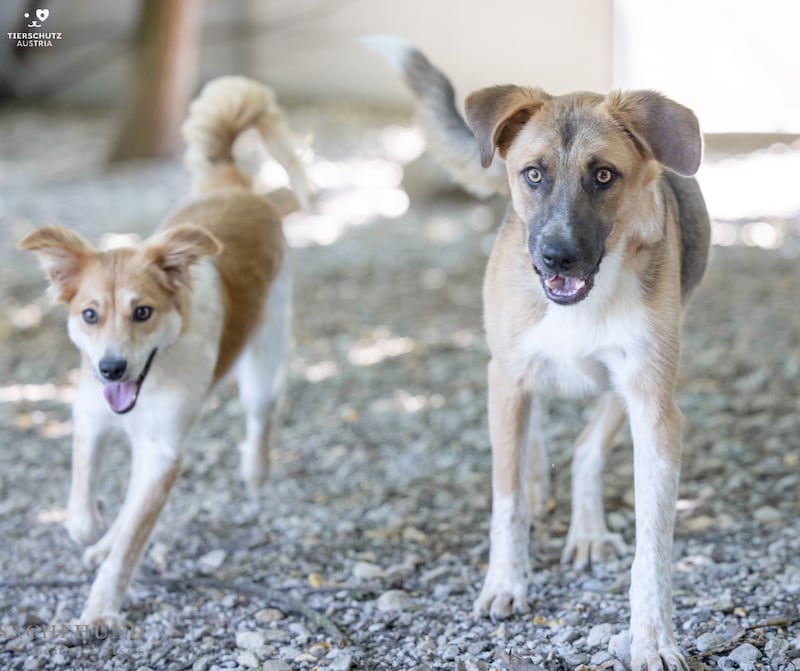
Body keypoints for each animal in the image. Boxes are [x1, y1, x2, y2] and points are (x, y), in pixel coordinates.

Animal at [18, 76, 310, 628]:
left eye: (143, 312)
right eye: (90, 315)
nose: (111, 368)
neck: (155, 374)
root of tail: (234, 187)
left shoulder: (163, 452)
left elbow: (131, 540)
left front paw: (100, 610)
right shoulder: (90, 414)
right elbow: (81, 506)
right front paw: (93, 530)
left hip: (264, 359)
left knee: (262, 414)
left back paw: (255, 470)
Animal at [366, 38, 708, 671]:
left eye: (604, 175)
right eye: (533, 173)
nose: (556, 258)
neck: (582, 300)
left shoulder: (654, 403)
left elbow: (652, 542)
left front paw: (654, 636)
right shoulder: (504, 376)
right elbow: (506, 502)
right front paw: (506, 582)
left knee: (586, 447)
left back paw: (586, 527)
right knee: (534, 432)